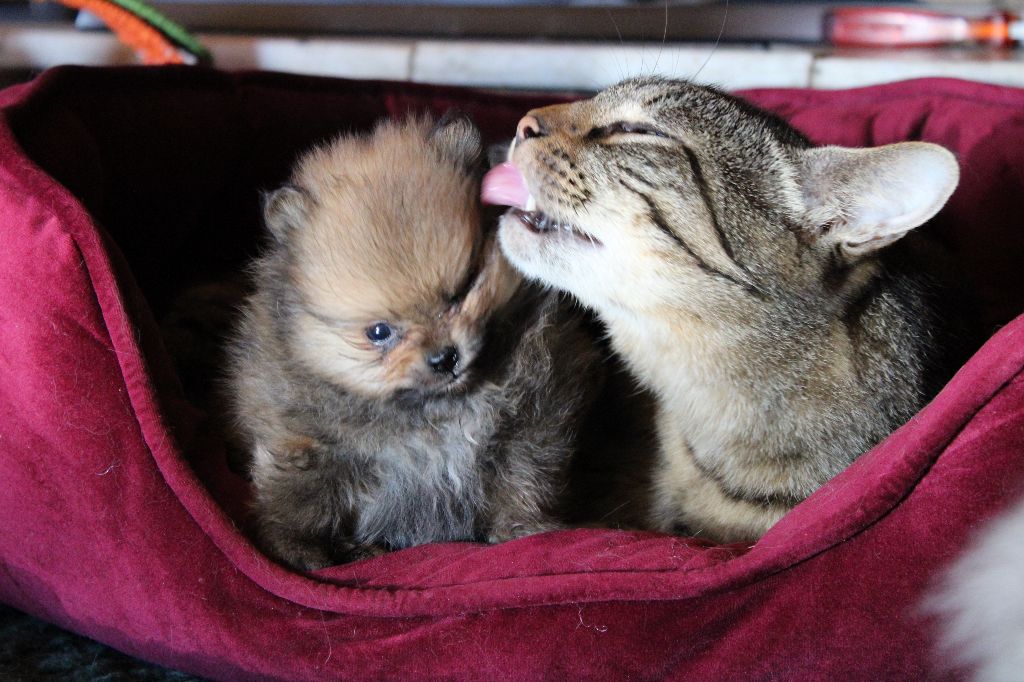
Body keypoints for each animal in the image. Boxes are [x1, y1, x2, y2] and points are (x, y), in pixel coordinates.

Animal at [228, 112, 602, 569]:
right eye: (379, 332)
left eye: (462, 291)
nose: (444, 358)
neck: (433, 409)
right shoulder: (307, 444)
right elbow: (301, 502)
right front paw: (303, 551)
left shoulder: (532, 421)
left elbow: (523, 478)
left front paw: (524, 528)